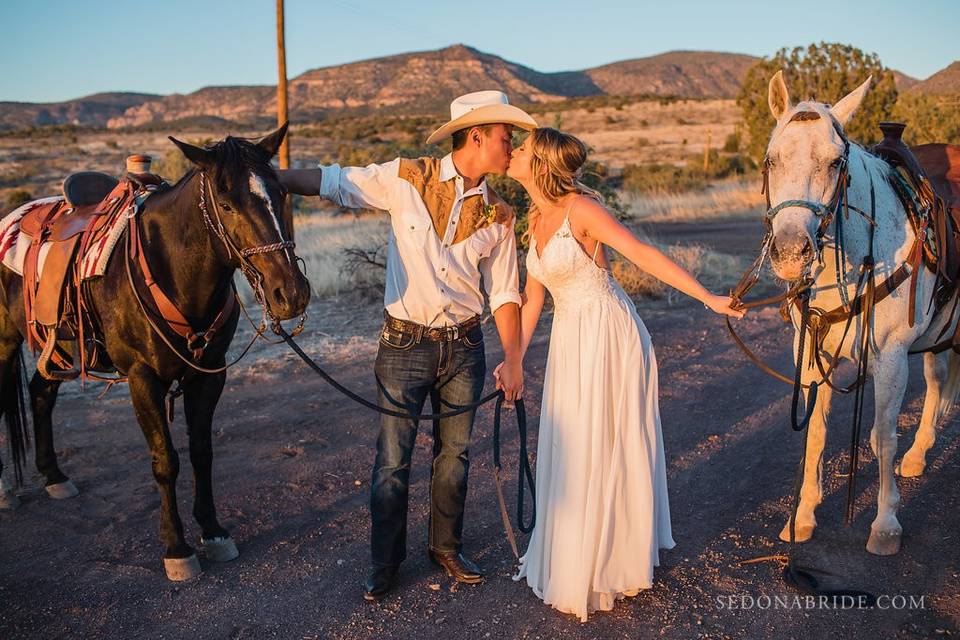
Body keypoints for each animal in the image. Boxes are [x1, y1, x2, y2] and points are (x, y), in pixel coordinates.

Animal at [0, 125, 310, 580]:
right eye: (226, 204)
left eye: (282, 193)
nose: (290, 293)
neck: (174, 272)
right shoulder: (142, 378)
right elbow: (166, 460)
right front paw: (177, 548)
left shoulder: (209, 373)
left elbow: (202, 452)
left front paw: (213, 531)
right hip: (6, 342)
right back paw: (6, 489)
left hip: (56, 349)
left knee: (41, 392)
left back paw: (54, 475)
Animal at [760, 71, 956, 556]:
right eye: (772, 160)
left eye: (834, 163)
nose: (790, 252)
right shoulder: (811, 351)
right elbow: (815, 433)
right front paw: (802, 516)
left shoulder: (891, 356)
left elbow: (885, 437)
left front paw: (885, 524)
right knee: (938, 377)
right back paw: (919, 452)